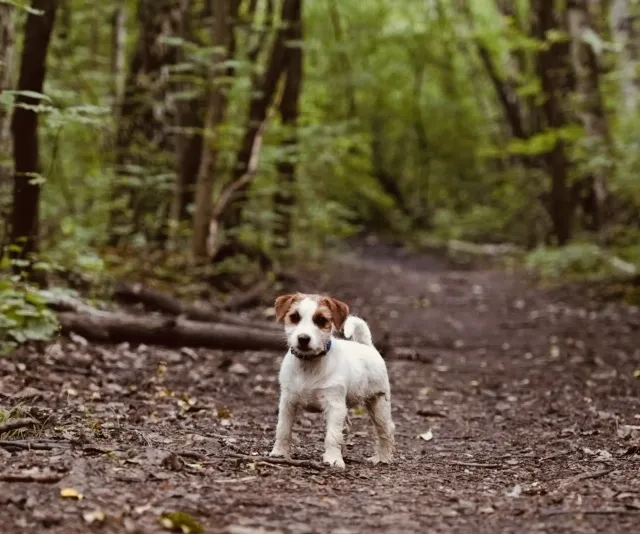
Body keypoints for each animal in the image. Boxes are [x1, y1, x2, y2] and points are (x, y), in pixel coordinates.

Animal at [266, 296, 392, 472]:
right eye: (294, 317)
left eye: (320, 320)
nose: (303, 339)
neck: (309, 364)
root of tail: (367, 346)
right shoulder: (287, 402)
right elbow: (283, 429)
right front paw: (279, 453)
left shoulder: (334, 404)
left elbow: (332, 435)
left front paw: (333, 459)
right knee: (345, 427)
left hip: (378, 403)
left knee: (385, 430)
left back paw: (383, 458)